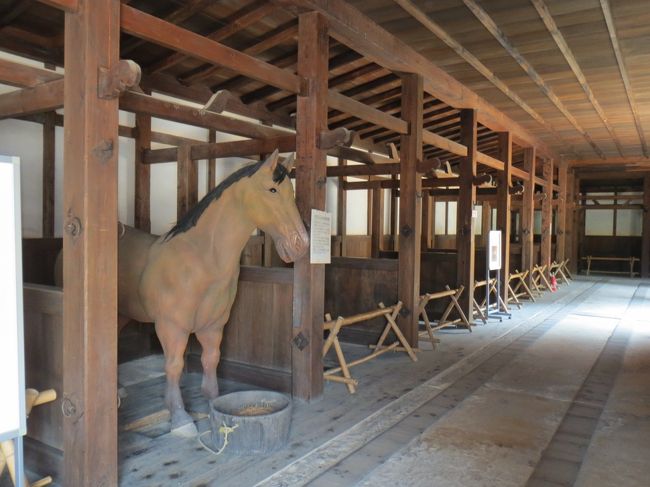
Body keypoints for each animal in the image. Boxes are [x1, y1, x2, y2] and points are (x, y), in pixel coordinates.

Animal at [58, 150, 309, 436]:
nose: (301, 244)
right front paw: (179, 417)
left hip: (121, 313)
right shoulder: (171, 327)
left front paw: (213, 402)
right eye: (272, 190)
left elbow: (211, 360)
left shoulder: (214, 325)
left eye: (291, 192)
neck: (202, 260)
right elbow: (174, 366)